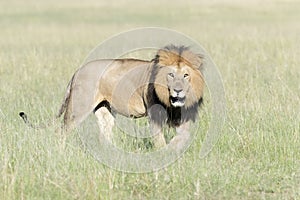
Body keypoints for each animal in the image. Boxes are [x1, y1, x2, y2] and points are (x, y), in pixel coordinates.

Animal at [19, 45, 205, 148]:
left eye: (186, 75)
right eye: (171, 75)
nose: (178, 90)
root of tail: (78, 71)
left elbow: (182, 137)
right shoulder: (154, 115)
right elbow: (159, 141)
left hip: (104, 109)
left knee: (104, 135)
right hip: (78, 107)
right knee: (61, 131)